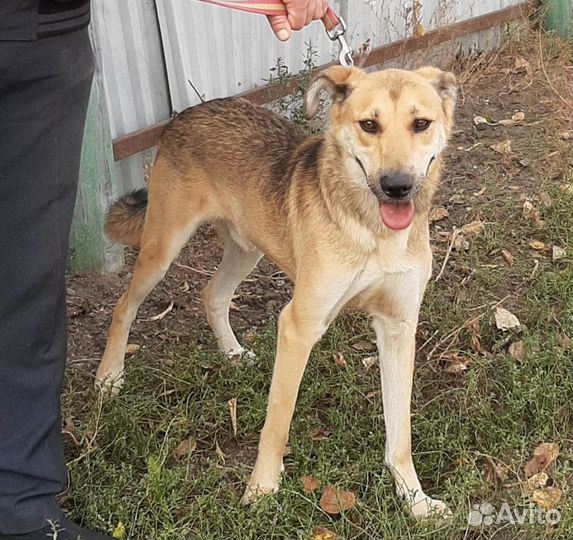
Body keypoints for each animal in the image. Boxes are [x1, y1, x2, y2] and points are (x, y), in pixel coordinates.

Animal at [97, 65, 456, 516]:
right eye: (369, 125)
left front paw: (415, 500)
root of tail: (184, 115)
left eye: (421, 124)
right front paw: (262, 489)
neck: (374, 233)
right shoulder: (299, 327)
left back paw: (232, 352)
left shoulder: (398, 326)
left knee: (212, 295)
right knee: (123, 304)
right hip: (163, 247)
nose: (397, 186)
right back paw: (109, 377)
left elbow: (400, 434)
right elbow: (277, 422)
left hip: (246, 248)